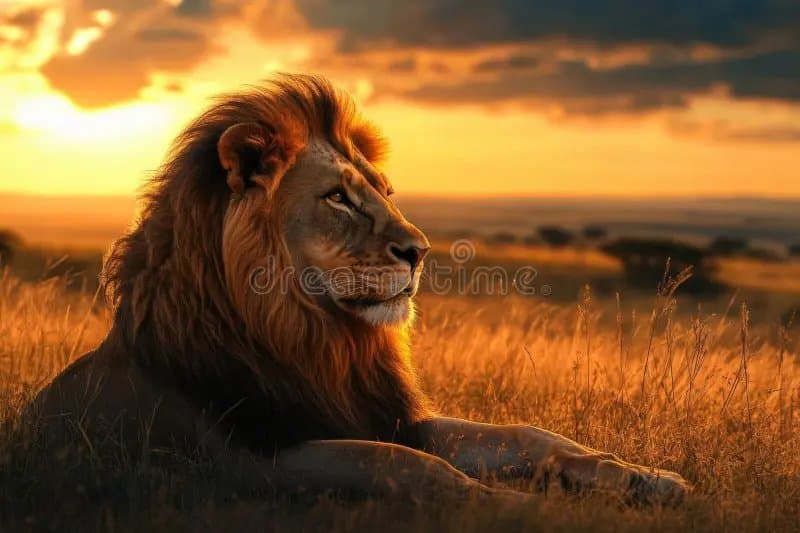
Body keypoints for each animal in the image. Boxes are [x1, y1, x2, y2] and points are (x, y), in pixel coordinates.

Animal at [29, 74, 689, 506]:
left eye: (384, 192)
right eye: (337, 197)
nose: (420, 250)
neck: (323, 339)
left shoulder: (385, 414)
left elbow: (522, 435)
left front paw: (644, 478)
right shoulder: (252, 461)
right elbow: (415, 469)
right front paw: (529, 509)